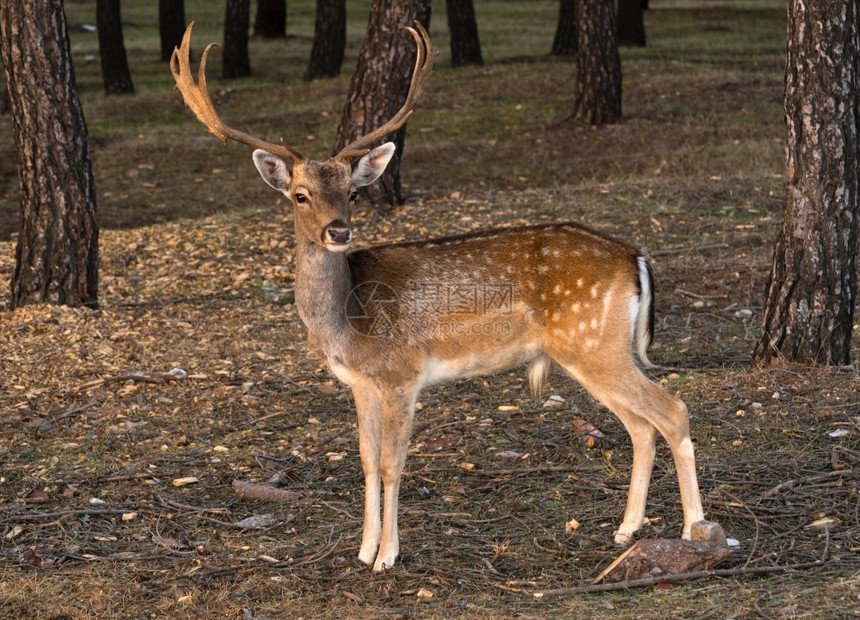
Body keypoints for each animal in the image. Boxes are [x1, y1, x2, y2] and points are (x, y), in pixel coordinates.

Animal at [171, 21, 704, 572]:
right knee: (641, 426)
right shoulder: (360, 383)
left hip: (595, 343)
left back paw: (693, 529)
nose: (339, 231)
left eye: (353, 192)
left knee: (673, 410)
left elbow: (391, 465)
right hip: (593, 350)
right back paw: (626, 530)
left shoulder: (401, 374)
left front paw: (387, 556)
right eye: (300, 195)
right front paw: (362, 550)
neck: (344, 321)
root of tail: (636, 257)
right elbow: (365, 461)